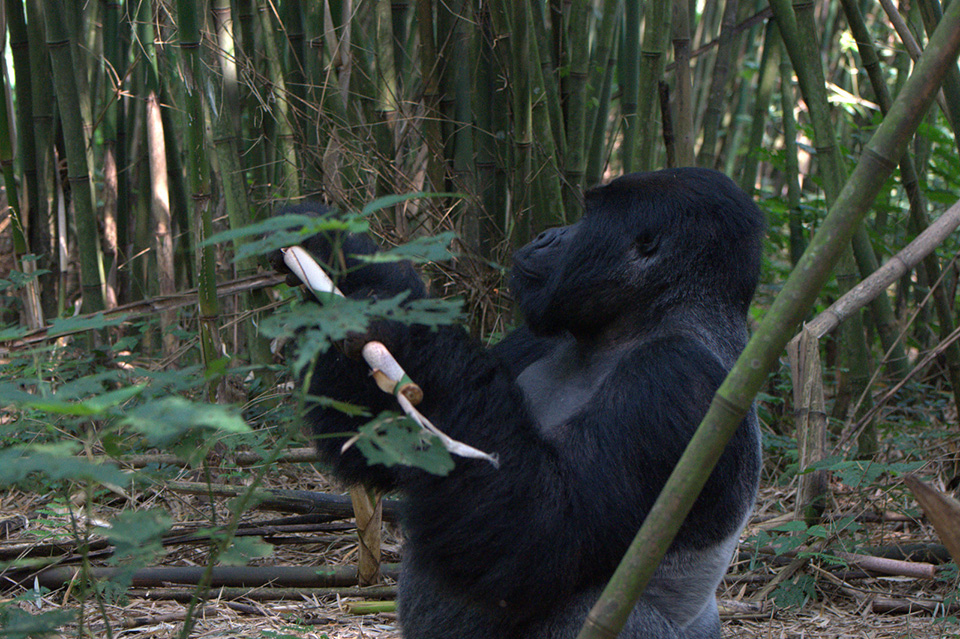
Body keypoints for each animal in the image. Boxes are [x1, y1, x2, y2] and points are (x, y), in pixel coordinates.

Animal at [270, 169, 764, 639]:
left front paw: (410, 331)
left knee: (591, 610)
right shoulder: (536, 336)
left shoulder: (676, 380)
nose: (547, 234)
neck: (643, 318)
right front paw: (334, 248)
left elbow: (543, 531)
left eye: (588, 216)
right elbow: (385, 449)